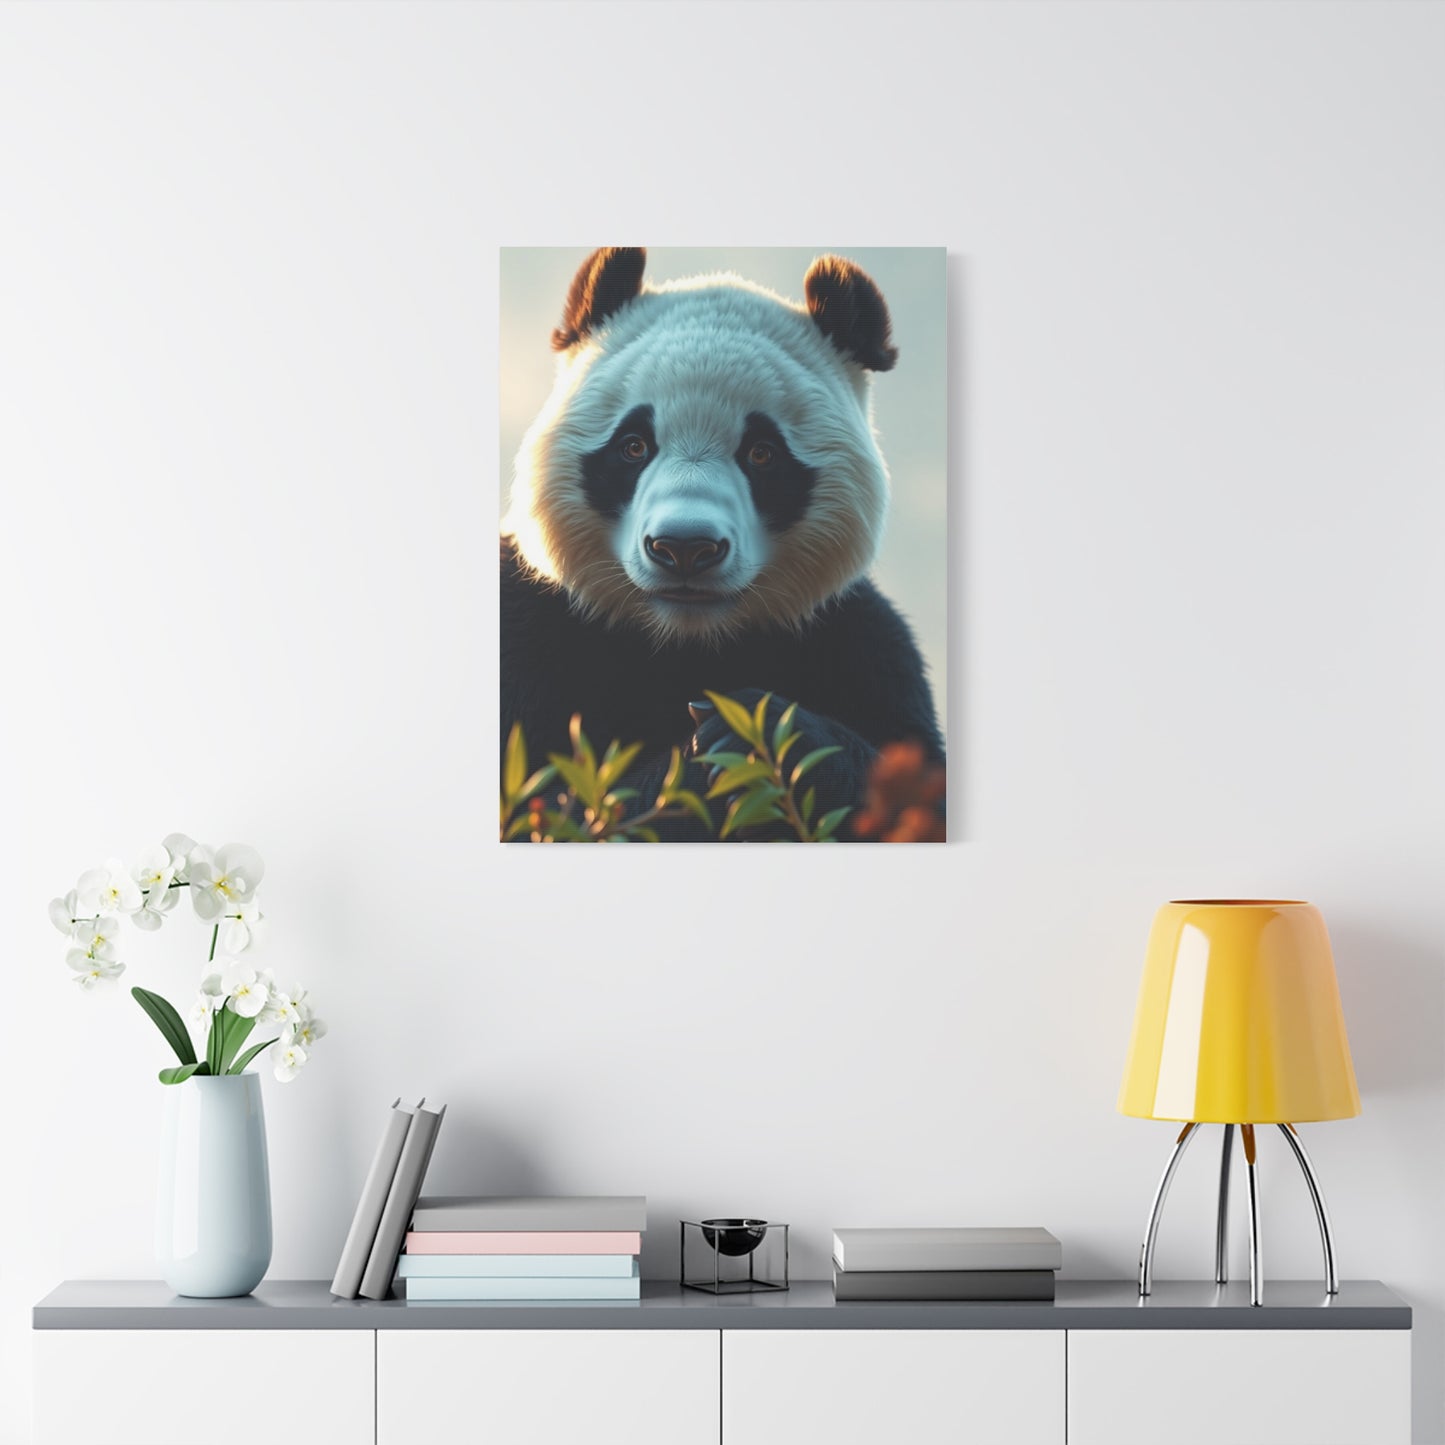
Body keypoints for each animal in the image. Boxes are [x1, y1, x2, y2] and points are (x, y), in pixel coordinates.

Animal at [501, 247, 943, 840]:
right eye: (633, 445)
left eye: (761, 453)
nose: (685, 548)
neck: (687, 640)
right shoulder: (531, 629)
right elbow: (549, 807)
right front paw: (708, 757)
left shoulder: (857, 642)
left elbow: (916, 790)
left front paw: (758, 733)